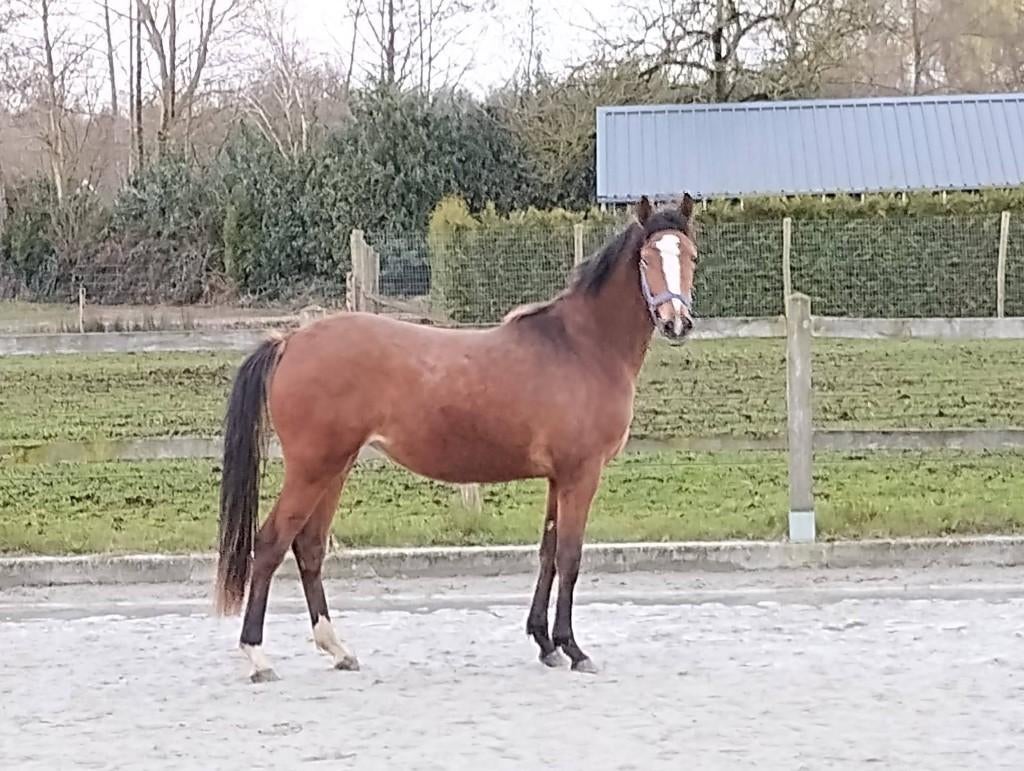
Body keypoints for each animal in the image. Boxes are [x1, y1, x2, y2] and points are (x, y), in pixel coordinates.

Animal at [214, 193, 700, 682]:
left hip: (335, 468)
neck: (581, 346)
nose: (676, 322)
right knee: (271, 544)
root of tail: (289, 342)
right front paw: (573, 648)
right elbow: (570, 556)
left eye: (692, 256)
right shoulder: (581, 475)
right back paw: (257, 655)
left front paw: (545, 643)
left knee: (309, 547)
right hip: (312, 469)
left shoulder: (557, 478)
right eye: (647, 257)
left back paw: (338, 649)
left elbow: (547, 552)